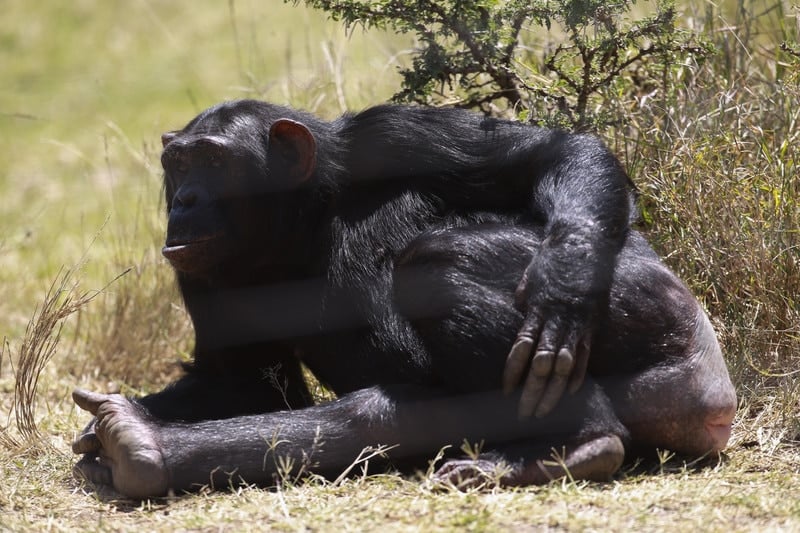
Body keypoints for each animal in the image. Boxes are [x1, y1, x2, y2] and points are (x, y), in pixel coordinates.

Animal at [72, 101, 736, 498]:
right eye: (178, 162)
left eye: (212, 160)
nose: (184, 199)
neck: (300, 218)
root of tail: (710, 386)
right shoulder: (202, 271)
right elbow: (240, 385)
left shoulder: (391, 136)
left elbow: (548, 153)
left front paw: (563, 286)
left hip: (651, 311)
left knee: (434, 265)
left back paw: (576, 442)